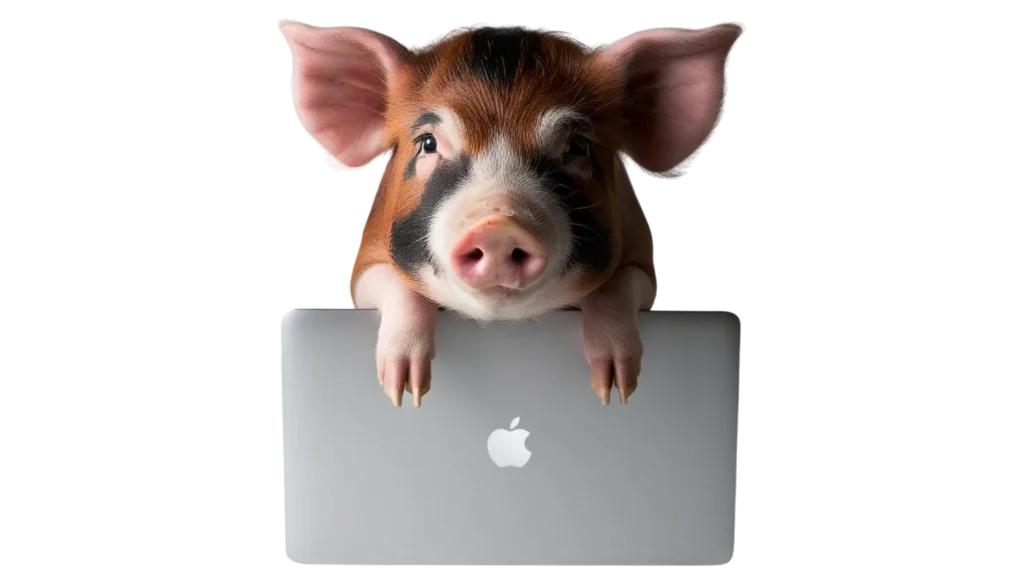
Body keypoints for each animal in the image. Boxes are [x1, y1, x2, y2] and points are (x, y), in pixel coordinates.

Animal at [281, 22, 740, 408]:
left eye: (577, 147)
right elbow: (394, 284)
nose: (498, 226)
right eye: (428, 143)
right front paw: (403, 392)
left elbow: (620, 283)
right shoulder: (364, 267)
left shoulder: (643, 263)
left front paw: (615, 391)